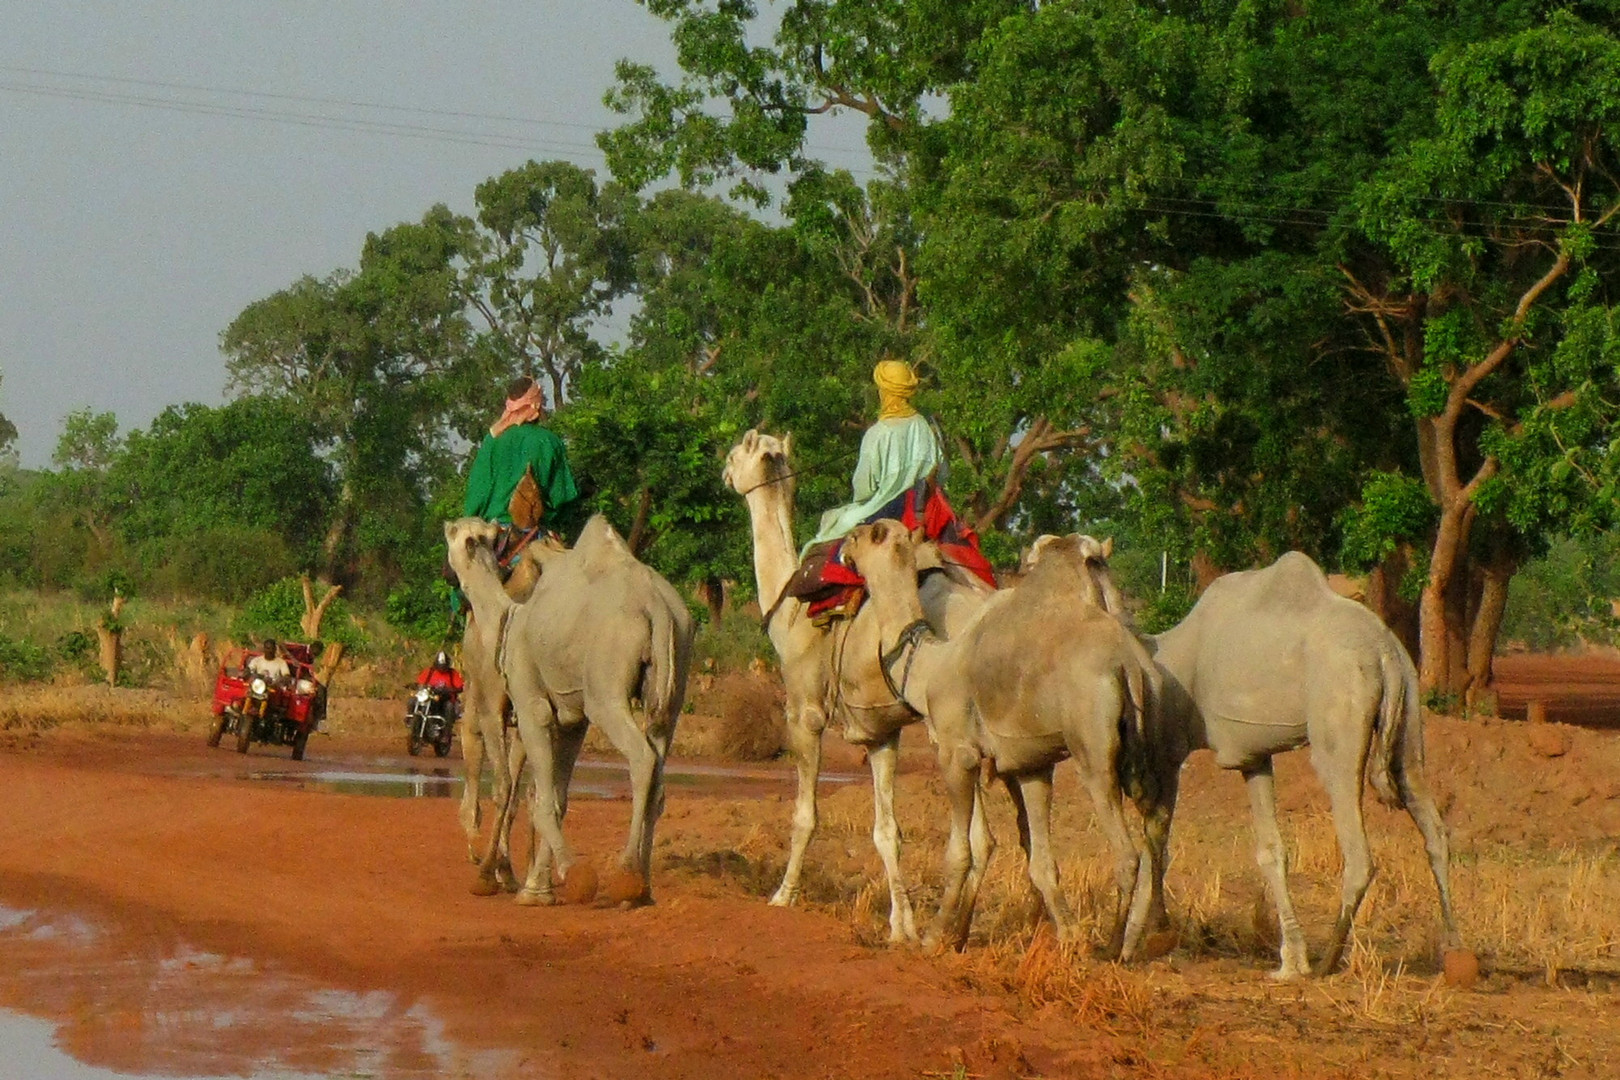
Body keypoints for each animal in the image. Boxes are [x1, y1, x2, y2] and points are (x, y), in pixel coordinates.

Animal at [443, 514, 696, 906]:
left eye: (451, 536)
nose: (447, 574)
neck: (507, 617)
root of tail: (657, 607)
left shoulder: (530, 702)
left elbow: (532, 793)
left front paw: (548, 880)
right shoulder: (572, 718)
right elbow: (555, 795)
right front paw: (538, 884)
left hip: (606, 690)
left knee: (641, 758)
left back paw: (626, 875)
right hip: (672, 684)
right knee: (658, 767)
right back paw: (643, 888)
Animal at [725, 430, 997, 945]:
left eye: (735, 454)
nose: (724, 472)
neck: (786, 612)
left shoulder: (804, 711)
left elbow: (805, 816)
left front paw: (783, 896)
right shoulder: (881, 732)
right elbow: (887, 831)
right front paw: (900, 926)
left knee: (981, 832)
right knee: (984, 836)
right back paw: (957, 931)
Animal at [842, 524, 1159, 952]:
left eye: (860, 536)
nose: (843, 550)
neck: (928, 665)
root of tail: (1126, 663)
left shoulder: (956, 752)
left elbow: (958, 852)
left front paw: (934, 935)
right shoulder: (1033, 763)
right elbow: (1041, 860)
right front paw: (1069, 935)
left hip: (1092, 744)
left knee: (1126, 850)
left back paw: (1111, 947)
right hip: (1145, 738)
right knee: (1153, 828)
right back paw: (1134, 937)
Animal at [1101, 550, 1470, 977]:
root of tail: (1383, 652)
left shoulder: (1169, 752)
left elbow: (1156, 843)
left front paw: (1130, 946)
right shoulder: (1254, 757)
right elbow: (1271, 850)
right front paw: (1290, 961)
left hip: (1339, 712)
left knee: (1358, 848)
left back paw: (1328, 960)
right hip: (1409, 709)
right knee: (1431, 823)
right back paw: (1456, 952)